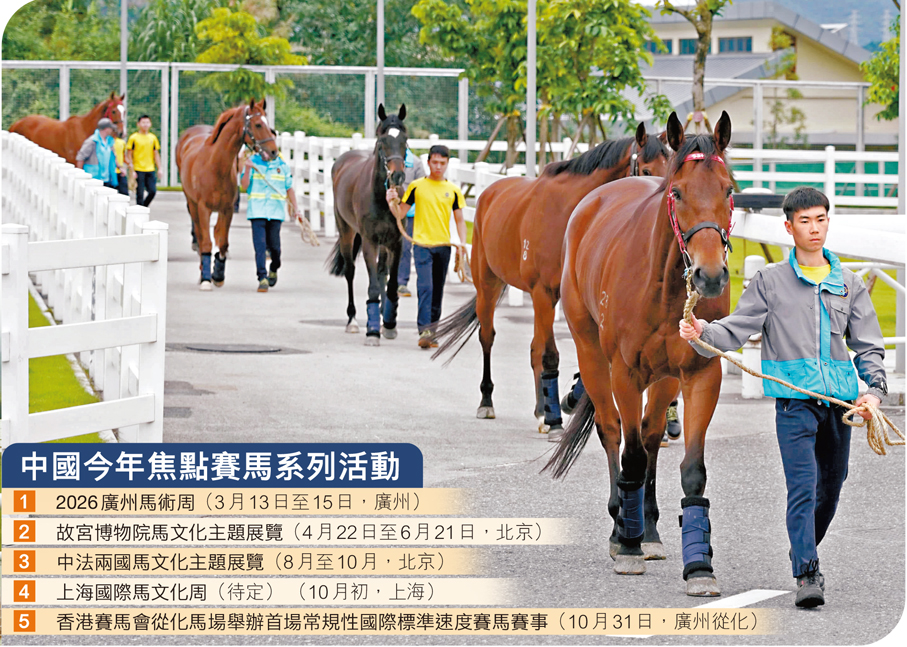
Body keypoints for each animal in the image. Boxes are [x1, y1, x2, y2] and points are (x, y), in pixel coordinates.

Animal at [176, 99, 278, 290]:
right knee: (200, 237)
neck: (215, 165)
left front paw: (218, 275)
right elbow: (206, 242)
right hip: (192, 205)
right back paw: (202, 272)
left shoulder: (227, 209)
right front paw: (206, 279)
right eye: (258, 124)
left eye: (268, 124)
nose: (274, 151)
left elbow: (223, 243)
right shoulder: (203, 208)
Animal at [328, 104, 409, 346]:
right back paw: (352, 320)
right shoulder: (369, 242)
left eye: (405, 140)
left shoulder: (396, 243)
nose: (398, 176)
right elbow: (372, 286)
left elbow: (391, 284)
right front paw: (372, 331)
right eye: (382, 141)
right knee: (350, 271)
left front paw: (389, 324)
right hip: (346, 232)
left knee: (382, 273)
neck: (381, 197)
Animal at [432, 123, 670, 434]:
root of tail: (488, 193)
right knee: (488, 337)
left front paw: (567, 401)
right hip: (488, 284)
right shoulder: (543, 292)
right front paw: (556, 417)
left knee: (533, 348)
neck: (568, 213)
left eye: (671, 165)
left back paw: (540, 408)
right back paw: (488, 401)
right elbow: (550, 355)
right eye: (646, 169)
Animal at [544, 111, 734, 597]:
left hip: (664, 378)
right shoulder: (625, 374)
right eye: (677, 192)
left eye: (729, 189)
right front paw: (626, 545)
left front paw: (698, 566)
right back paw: (622, 527)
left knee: (649, 438)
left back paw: (646, 530)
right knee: (615, 434)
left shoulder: (701, 374)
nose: (709, 276)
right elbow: (627, 452)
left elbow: (690, 467)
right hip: (593, 355)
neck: (663, 287)